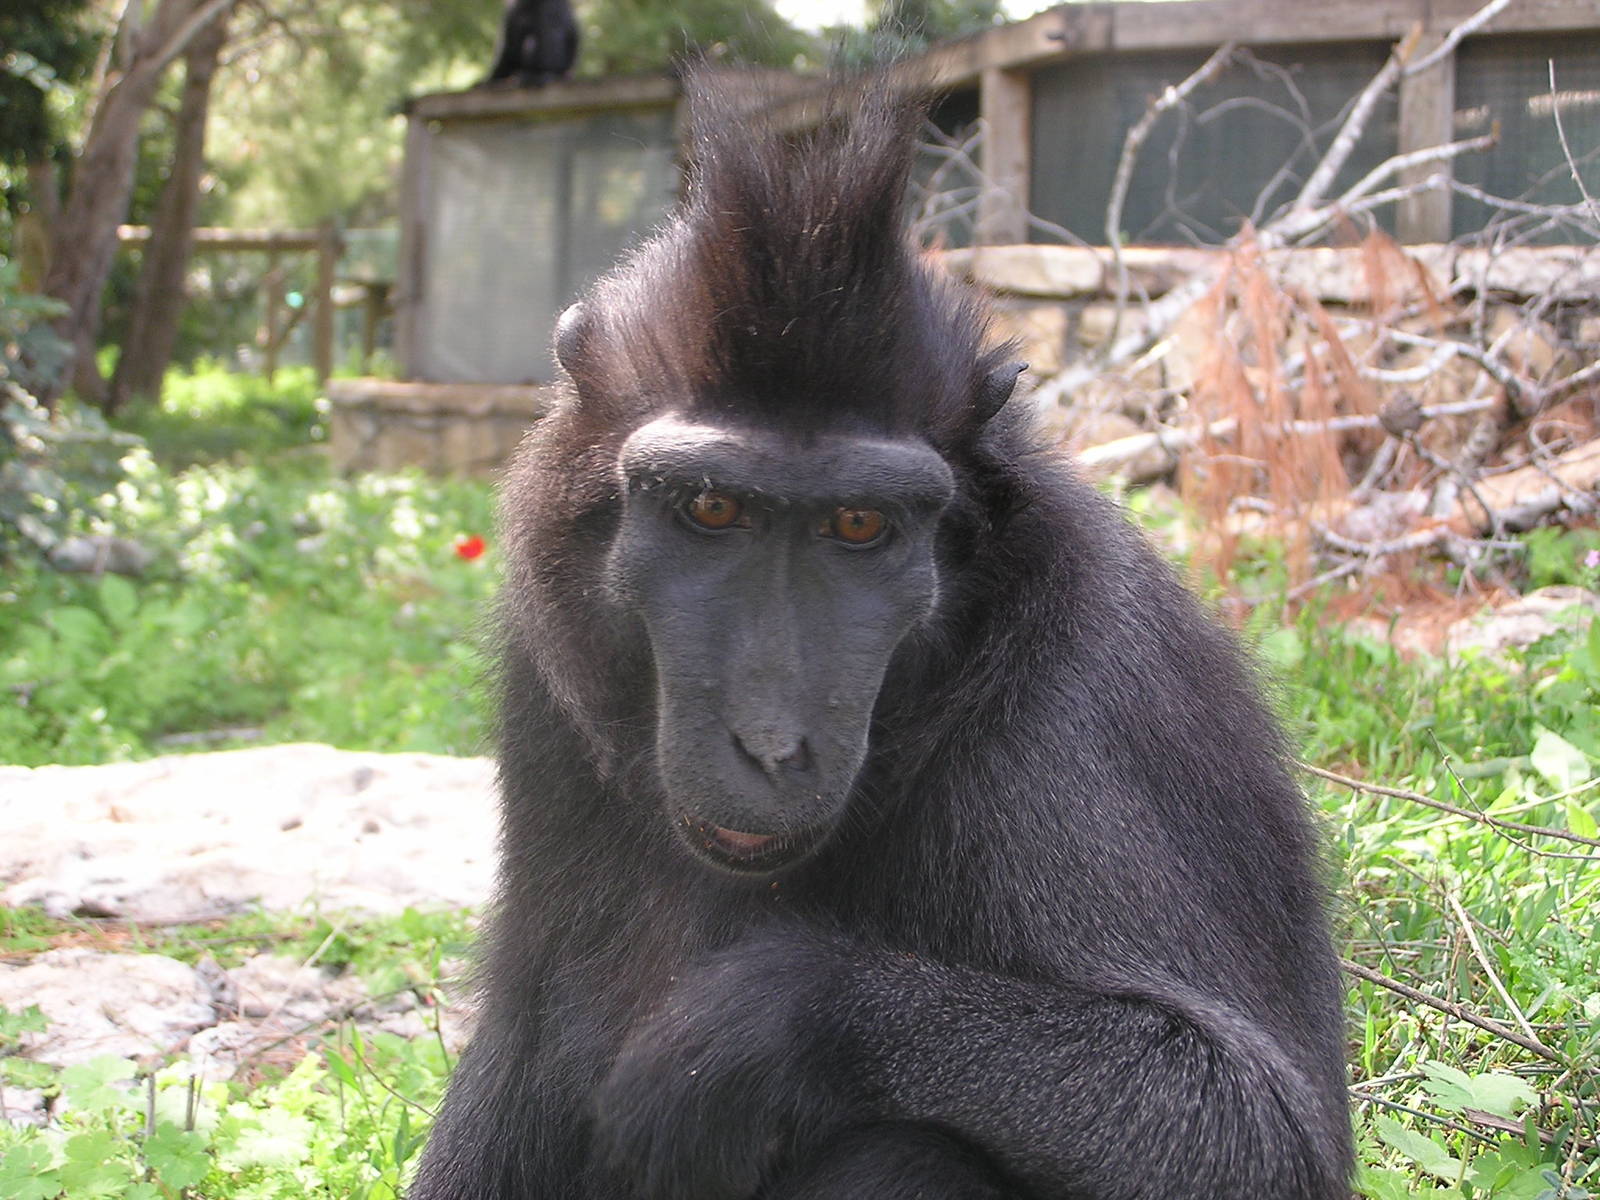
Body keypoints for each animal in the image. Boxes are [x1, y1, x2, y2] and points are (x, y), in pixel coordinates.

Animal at [408, 77, 1353, 1200]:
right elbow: (526, 1039)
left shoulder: (1080, 703)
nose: (771, 747)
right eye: (712, 508)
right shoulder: (546, 672)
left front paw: (766, 1025)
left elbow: (1258, 1129)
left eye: (858, 526)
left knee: (908, 1151)